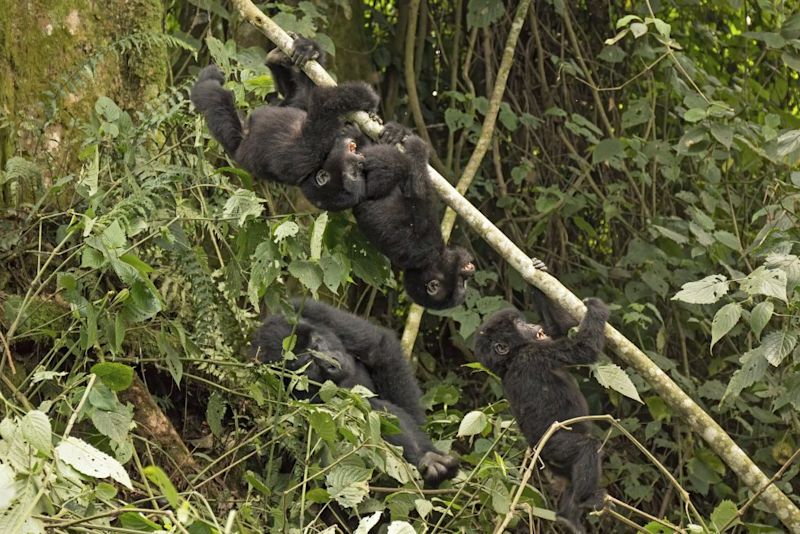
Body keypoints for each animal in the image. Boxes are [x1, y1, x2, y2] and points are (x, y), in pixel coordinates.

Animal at [247, 300, 460, 488]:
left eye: (316, 345)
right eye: (308, 364)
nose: (332, 364)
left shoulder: (307, 308)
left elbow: (378, 347)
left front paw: (419, 419)